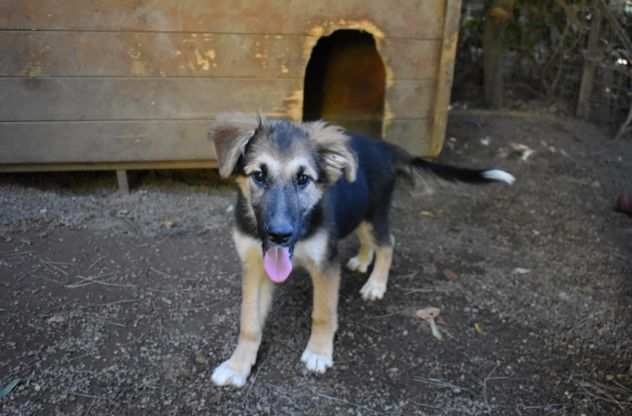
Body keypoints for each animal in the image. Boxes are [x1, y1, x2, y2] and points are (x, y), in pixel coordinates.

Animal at [207, 114, 512, 386]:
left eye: (303, 179)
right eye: (259, 175)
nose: (280, 235)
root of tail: (383, 146)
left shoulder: (326, 264)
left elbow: (323, 313)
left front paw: (318, 351)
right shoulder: (254, 266)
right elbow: (249, 323)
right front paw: (237, 365)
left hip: (374, 215)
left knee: (388, 244)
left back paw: (376, 284)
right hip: (360, 213)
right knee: (368, 241)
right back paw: (363, 261)